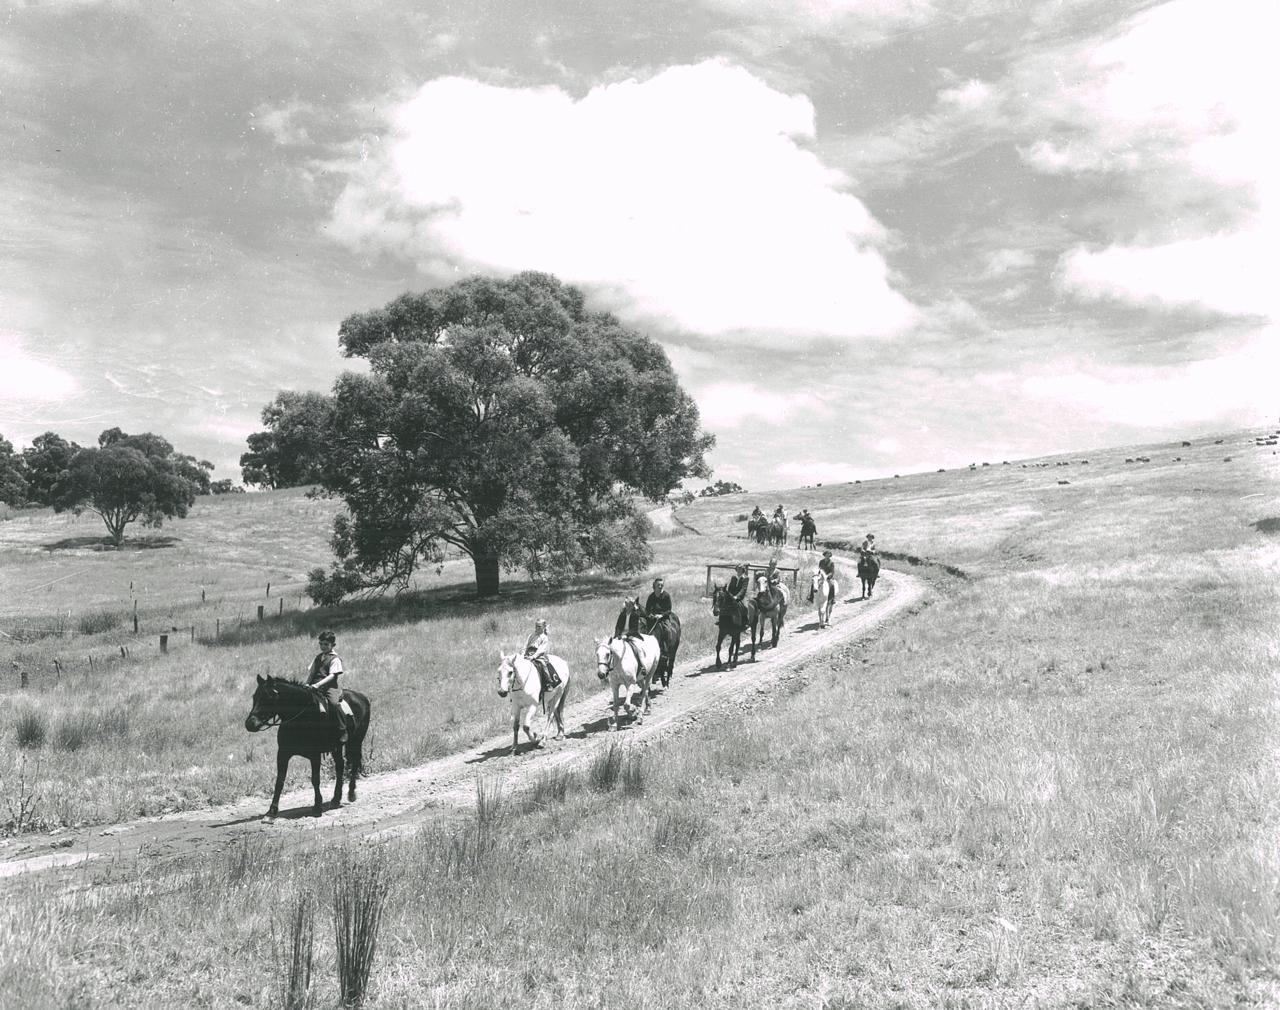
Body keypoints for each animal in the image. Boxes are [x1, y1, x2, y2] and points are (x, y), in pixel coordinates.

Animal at [243, 675, 371, 814]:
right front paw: (272, 810)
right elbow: (280, 780)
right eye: (255, 697)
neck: (302, 717)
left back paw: (351, 793)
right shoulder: (283, 753)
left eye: (268, 697)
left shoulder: (315, 755)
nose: (250, 724)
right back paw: (336, 799)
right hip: (337, 747)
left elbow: (315, 779)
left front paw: (317, 806)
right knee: (340, 766)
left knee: (354, 763)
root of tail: (361, 696)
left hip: (356, 741)